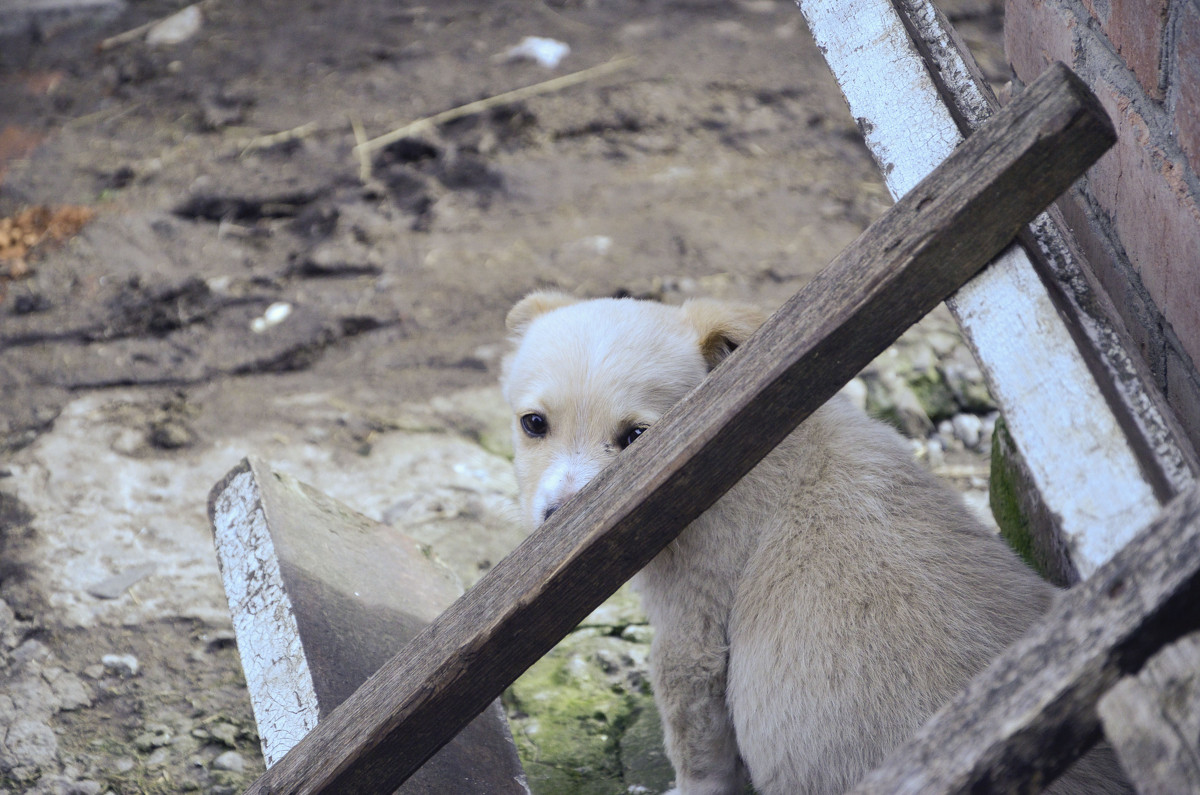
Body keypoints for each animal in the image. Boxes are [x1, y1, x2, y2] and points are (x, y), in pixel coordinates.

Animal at [496, 293, 1123, 795]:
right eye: (534, 423)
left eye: (634, 437)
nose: (556, 520)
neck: (727, 449)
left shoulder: (693, 622)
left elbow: (696, 741)